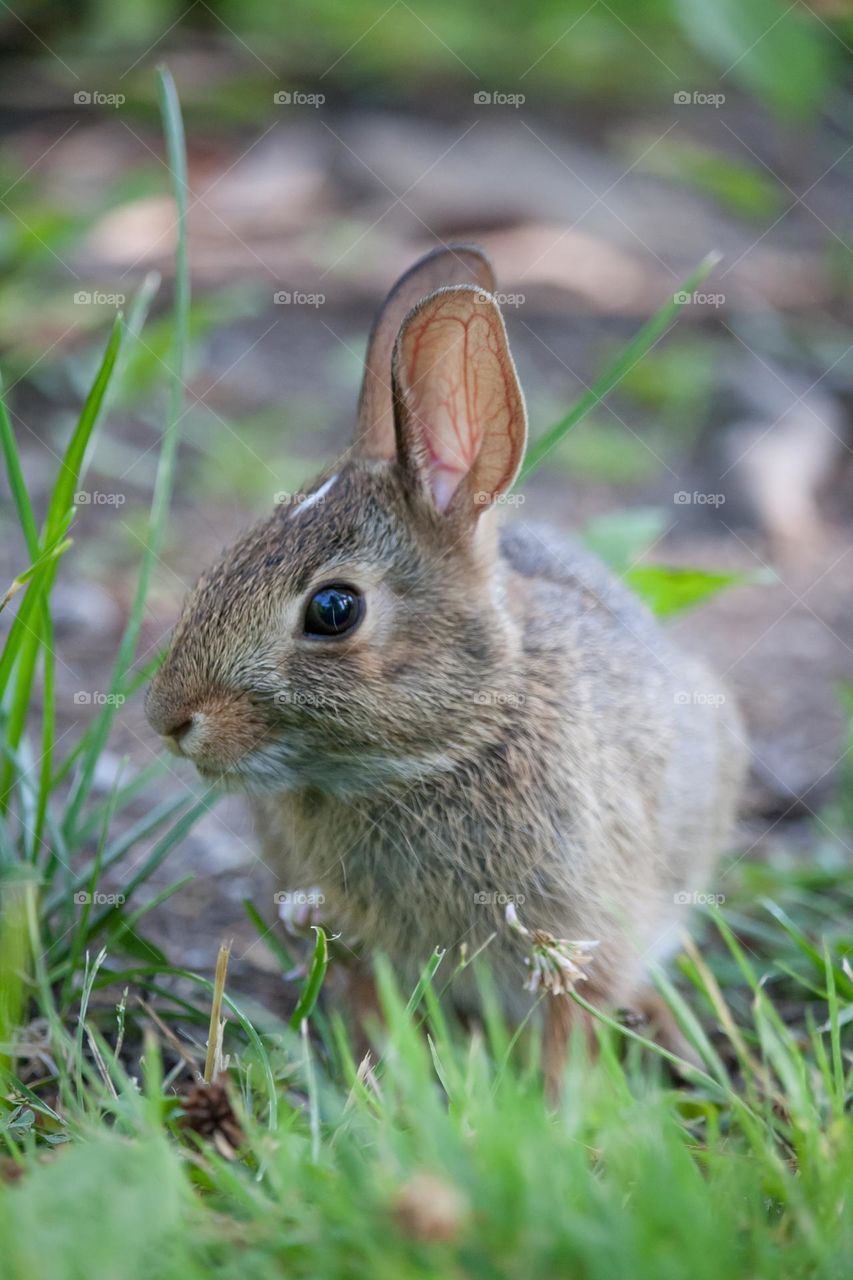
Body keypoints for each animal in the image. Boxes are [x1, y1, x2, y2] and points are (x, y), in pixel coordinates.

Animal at [146, 244, 747, 1088]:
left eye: (334, 610)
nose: (167, 719)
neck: (448, 745)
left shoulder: (579, 930)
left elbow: (572, 1020)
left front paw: (559, 1108)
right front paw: (379, 1086)